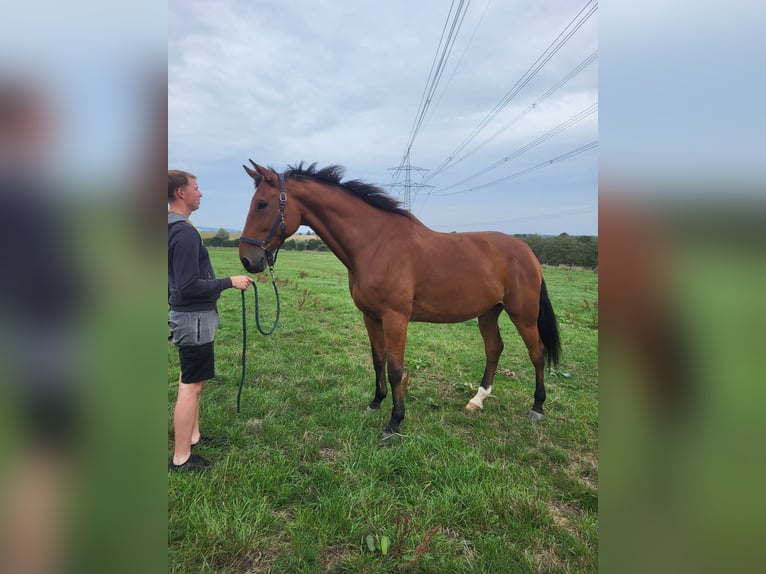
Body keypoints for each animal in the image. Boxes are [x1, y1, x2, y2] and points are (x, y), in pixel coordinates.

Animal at [240, 162, 564, 436]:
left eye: (262, 204)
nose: (247, 259)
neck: (376, 243)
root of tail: (528, 253)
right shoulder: (370, 317)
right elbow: (378, 360)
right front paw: (375, 403)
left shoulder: (395, 318)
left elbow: (396, 369)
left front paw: (395, 422)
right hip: (488, 313)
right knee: (494, 348)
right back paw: (477, 400)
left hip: (523, 314)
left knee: (536, 353)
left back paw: (537, 407)